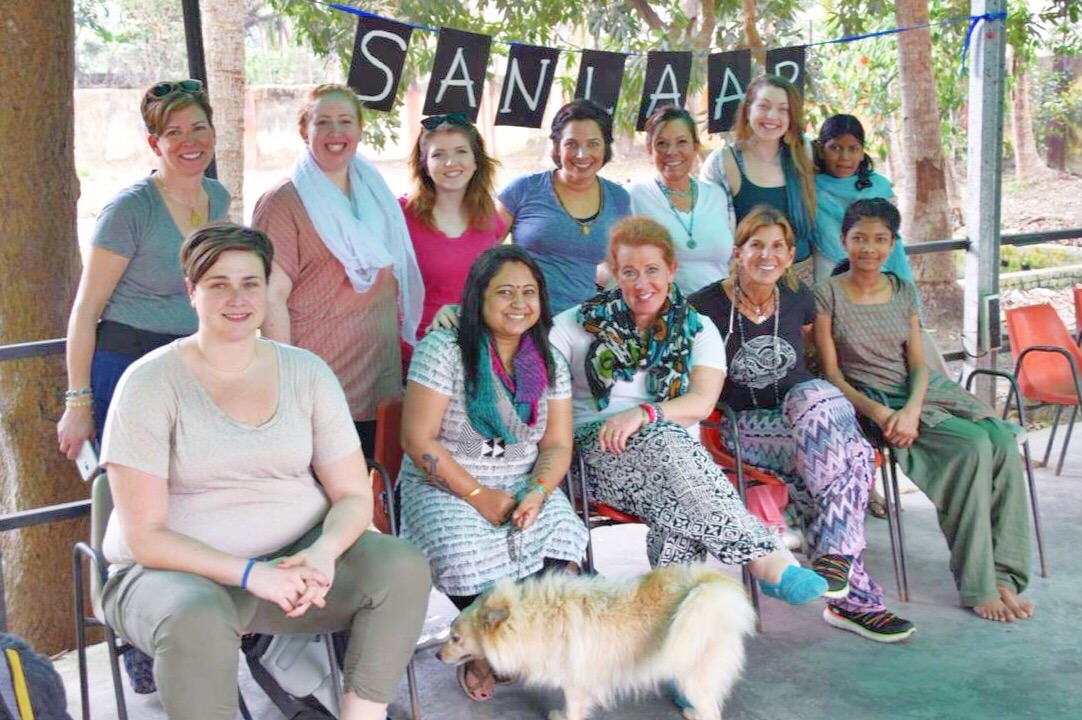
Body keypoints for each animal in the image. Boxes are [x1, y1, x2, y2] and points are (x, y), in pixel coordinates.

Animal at [437, 564, 756, 720]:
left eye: (455, 638)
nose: (438, 657)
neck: (532, 616)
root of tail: (707, 583)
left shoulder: (573, 680)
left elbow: (572, 709)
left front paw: (561, 716)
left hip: (694, 676)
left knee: (712, 711)